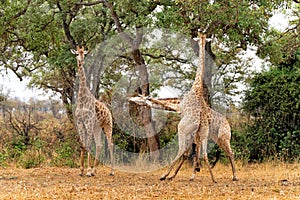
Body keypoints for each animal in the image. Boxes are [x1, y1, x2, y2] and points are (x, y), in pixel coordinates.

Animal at [72, 45, 114, 177]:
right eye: (77, 54)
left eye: (84, 54)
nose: (81, 61)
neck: (82, 98)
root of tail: (109, 111)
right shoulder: (80, 122)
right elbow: (82, 144)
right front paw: (81, 170)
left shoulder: (88, 122)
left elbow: (89, 144)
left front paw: (88, 171)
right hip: (97, 127)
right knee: (100, 145)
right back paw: (95, 170)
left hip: (107, 125)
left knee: (110, 144)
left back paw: (112, 171)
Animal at [159, 29, 216, 181]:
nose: (200, 38)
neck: (196, 87)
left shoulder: (179, 109)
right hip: (203, 133)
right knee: (203, 152)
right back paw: (209, 177)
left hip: (182, 129)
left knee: (181, 150)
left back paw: (165, 175)